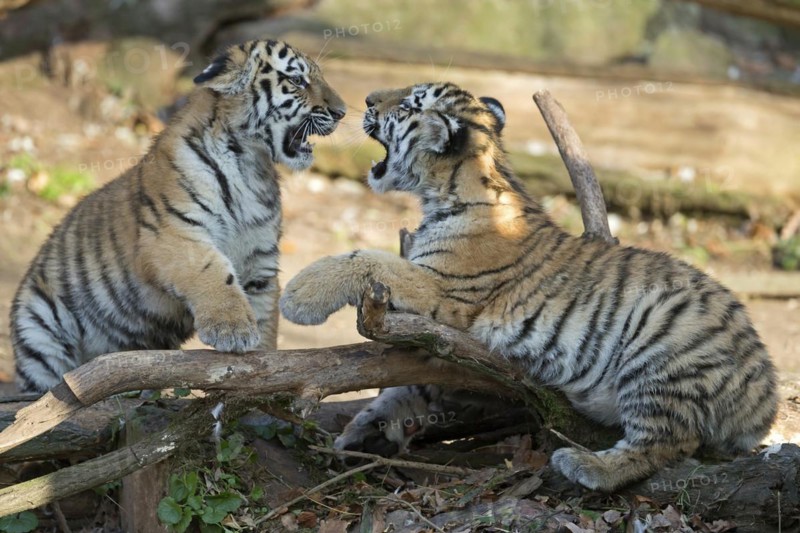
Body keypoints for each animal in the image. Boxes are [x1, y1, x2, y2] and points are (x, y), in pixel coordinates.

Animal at [10, 39, 346, 393]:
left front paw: (267, 370)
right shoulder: (173, 233)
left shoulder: (261, 261)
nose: (342, 112)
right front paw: (233, 329)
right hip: (38, 327)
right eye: (297, 81)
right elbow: (214, 273)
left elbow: (266, 316)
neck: (252, 166)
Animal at [279, 82, 778, 491]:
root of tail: (765, 390)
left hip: (662, 350)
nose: (365, 100)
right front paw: (366, 432)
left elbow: (366, 259)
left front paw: (299, 296)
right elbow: (406, 386)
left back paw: (586, 465)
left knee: (667, 442)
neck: (453, 189)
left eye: (408, 105)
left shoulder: (443, 290)